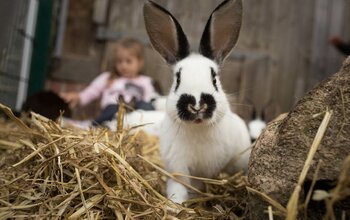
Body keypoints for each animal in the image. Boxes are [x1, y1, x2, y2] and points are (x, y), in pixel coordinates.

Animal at [144, 0, 250, 204]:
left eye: (214, 79)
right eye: (177, 79)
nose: (197, 105)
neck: (197, 128)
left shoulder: (206, 170)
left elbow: (198, 184)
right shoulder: (178, 166)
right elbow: (179, 186)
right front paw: (175, 205)